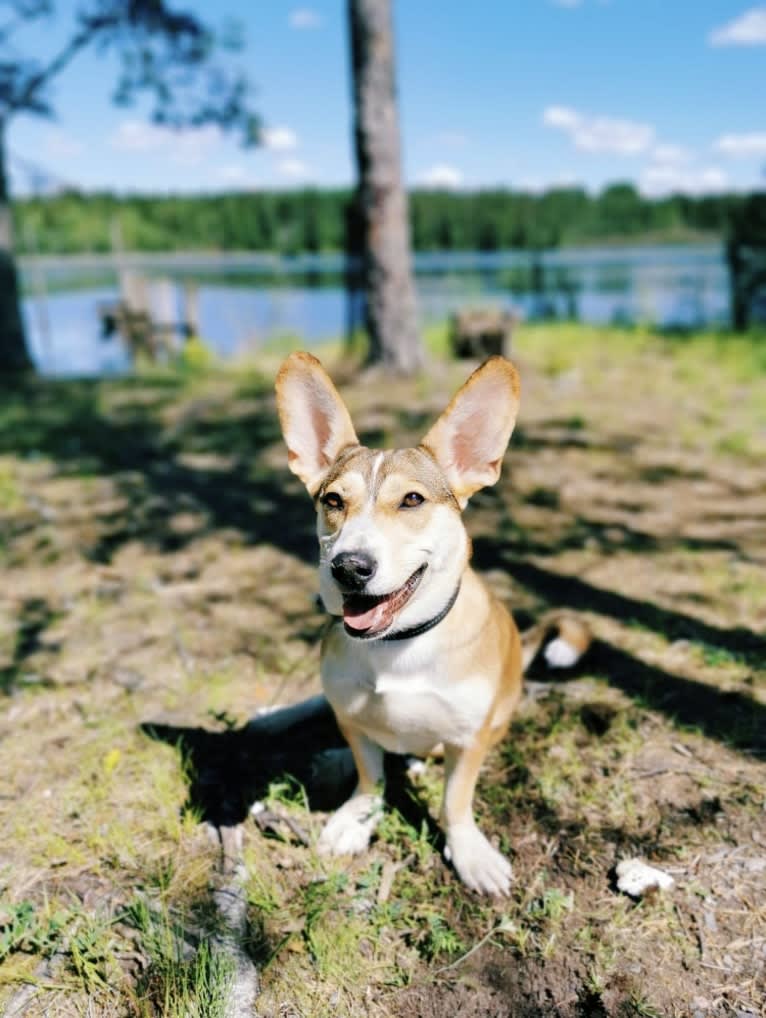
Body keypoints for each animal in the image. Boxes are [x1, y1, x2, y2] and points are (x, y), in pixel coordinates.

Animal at [277, 354, 590, 895]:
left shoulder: (466, 741)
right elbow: (371, 776)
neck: (399, 645)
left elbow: (455, 802)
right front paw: (357, 817)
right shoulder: (354, 722)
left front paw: (468, 852)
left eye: (412, 501)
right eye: (333, 501)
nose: (349, 568)